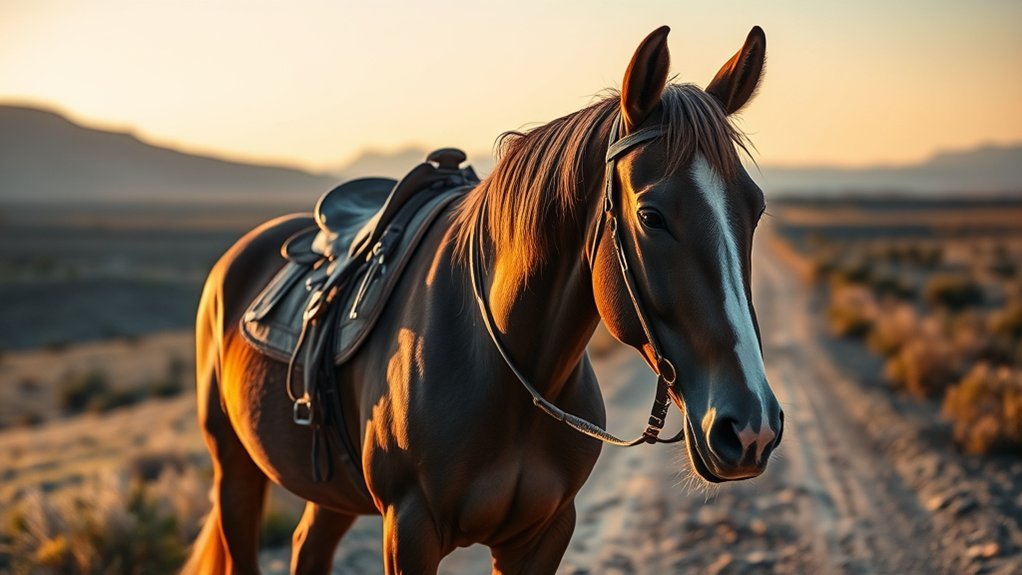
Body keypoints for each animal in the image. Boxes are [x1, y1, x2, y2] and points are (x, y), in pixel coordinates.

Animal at [184, 24, 782, 574]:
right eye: (651, 216)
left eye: (755, 211)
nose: (750, 427)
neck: (508, 375)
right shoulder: (409, 529)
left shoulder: (544, 534)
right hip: (233, 466)